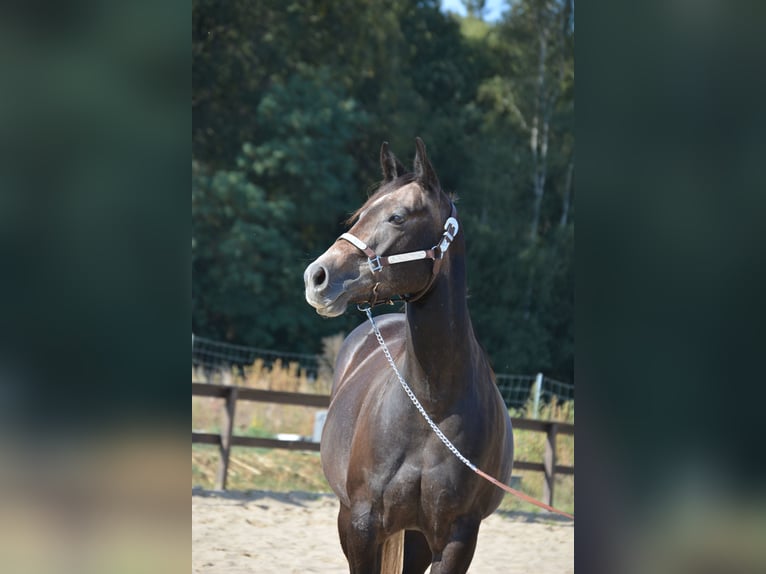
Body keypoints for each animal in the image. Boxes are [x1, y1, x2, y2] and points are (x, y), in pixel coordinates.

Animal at [303, 138, 513, 573]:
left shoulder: (457, 539)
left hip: (416, 536)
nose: (317, 277)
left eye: (397, 217)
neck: (430, 404)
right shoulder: (361, 525)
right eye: (359, 214)